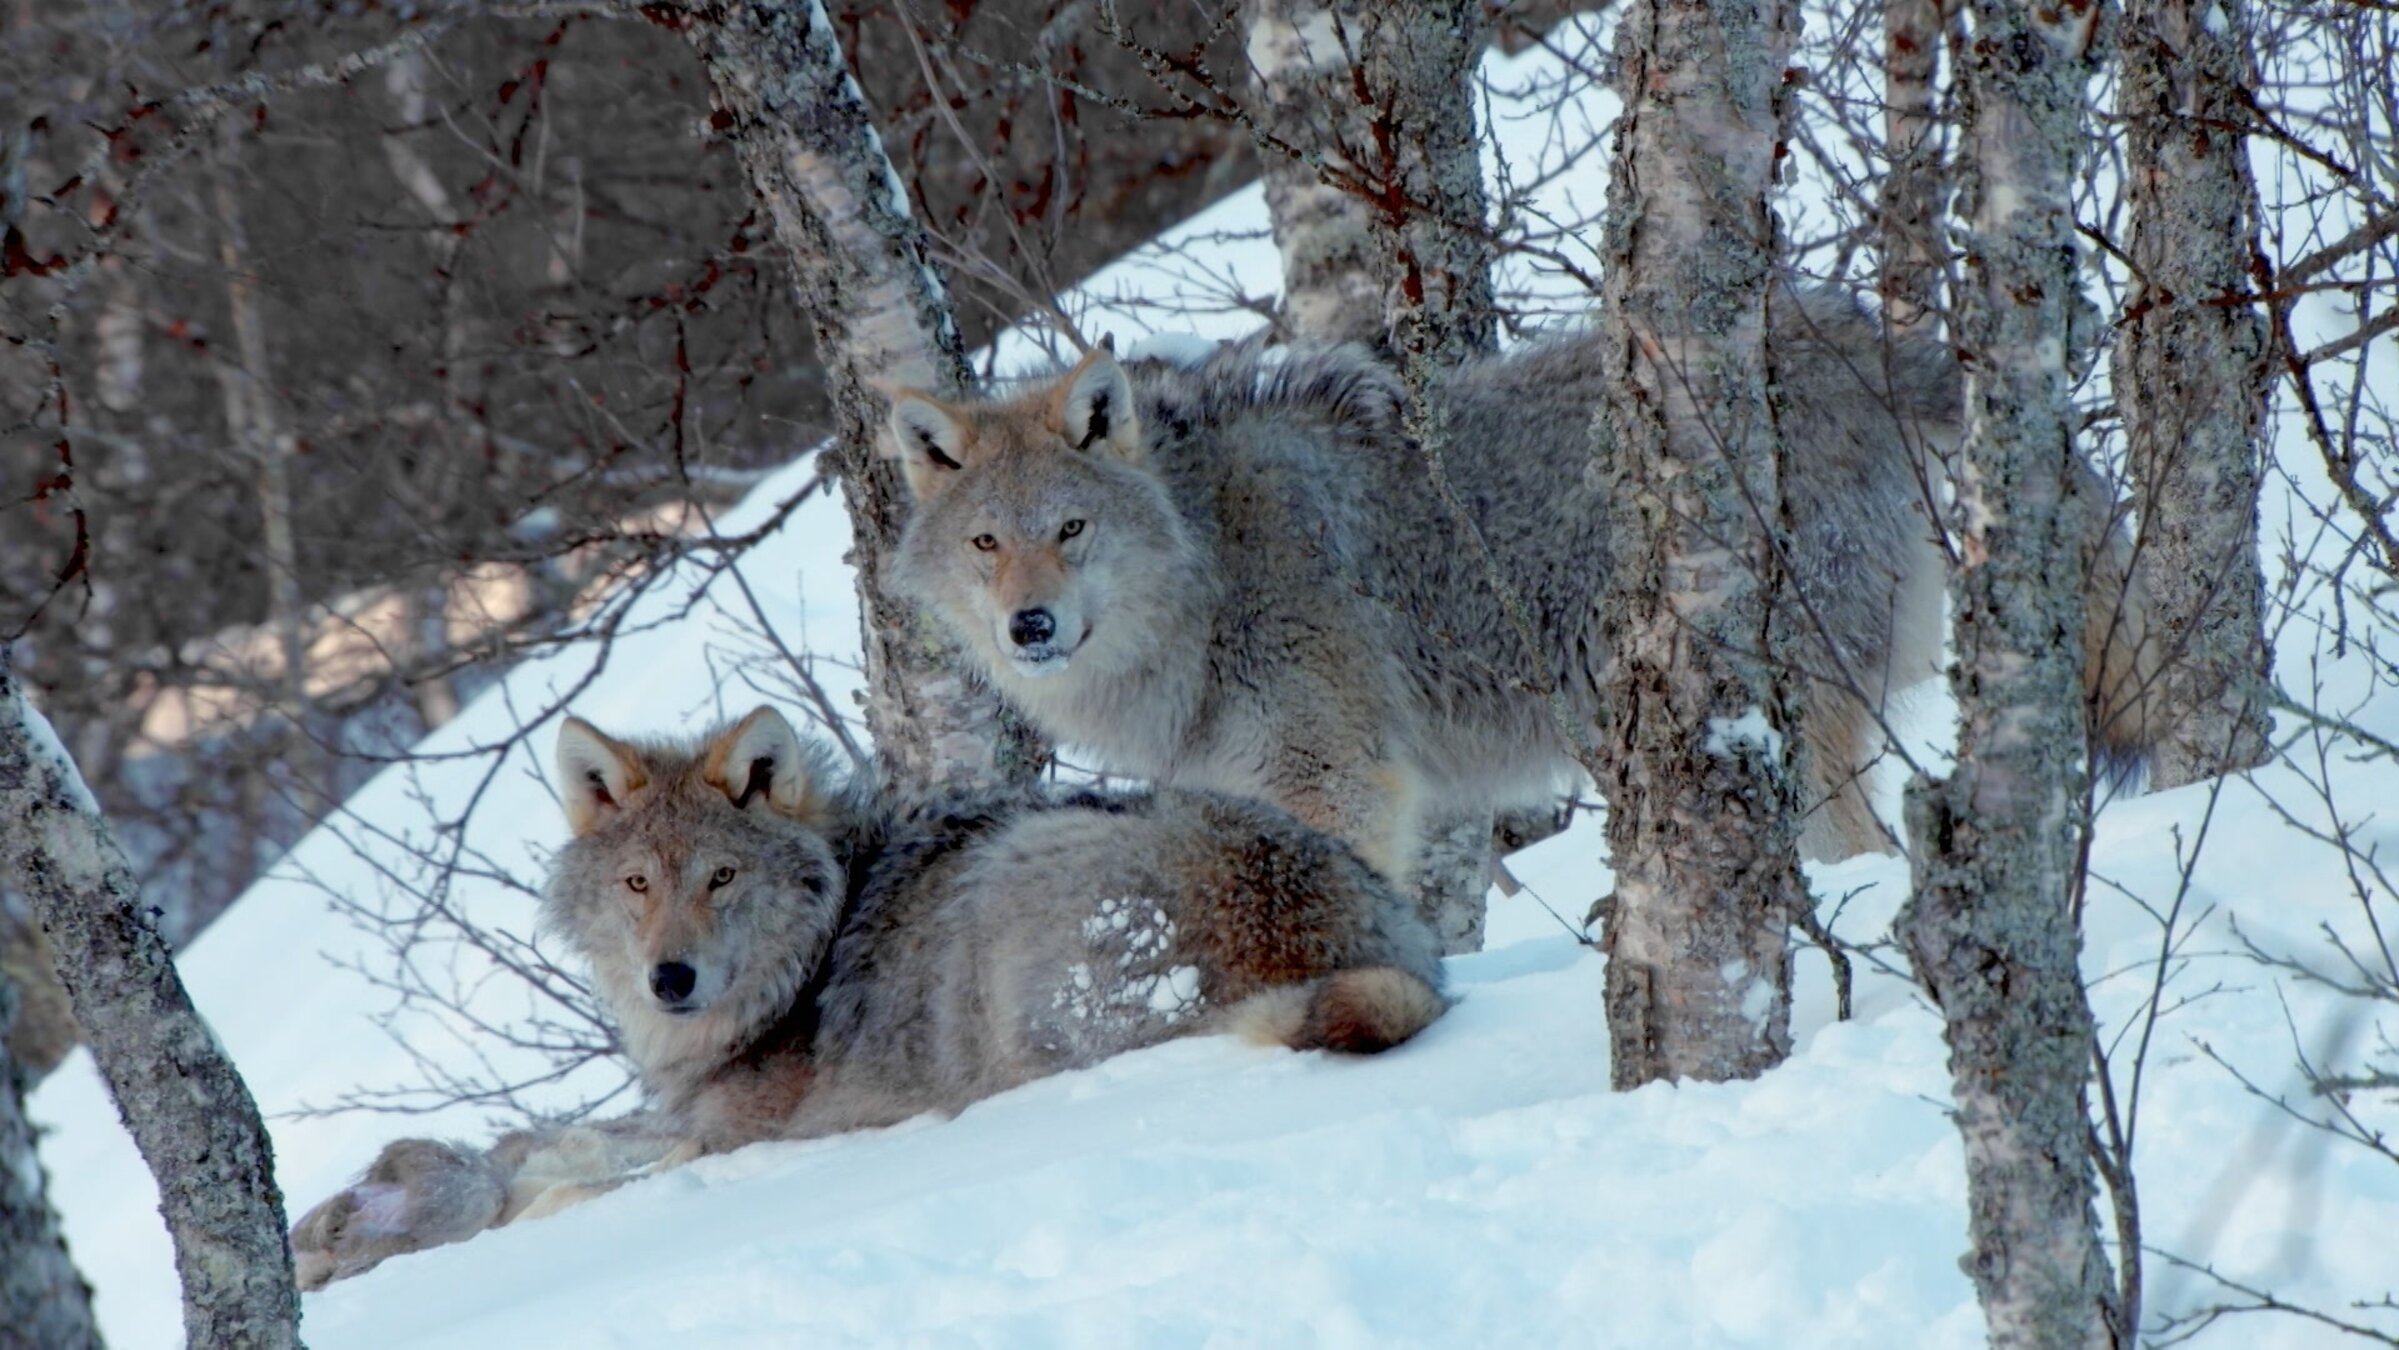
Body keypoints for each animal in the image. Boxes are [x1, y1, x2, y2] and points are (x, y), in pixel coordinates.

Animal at [292, 704, 1443, 1285]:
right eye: (637, 884)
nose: (671, 979)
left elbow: (571, 1175)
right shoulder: (691, 1109)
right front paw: (359, 1211)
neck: (803, 953)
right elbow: (540, 1139)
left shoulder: (736, 1132)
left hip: (1011, 871)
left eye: (721, 877)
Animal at [884, 287, 2154, 880]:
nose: (1030, 625)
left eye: (1071, 527)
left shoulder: (1338, 785)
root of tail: (1872, 335)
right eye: (986, 545)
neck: (1211, 567)